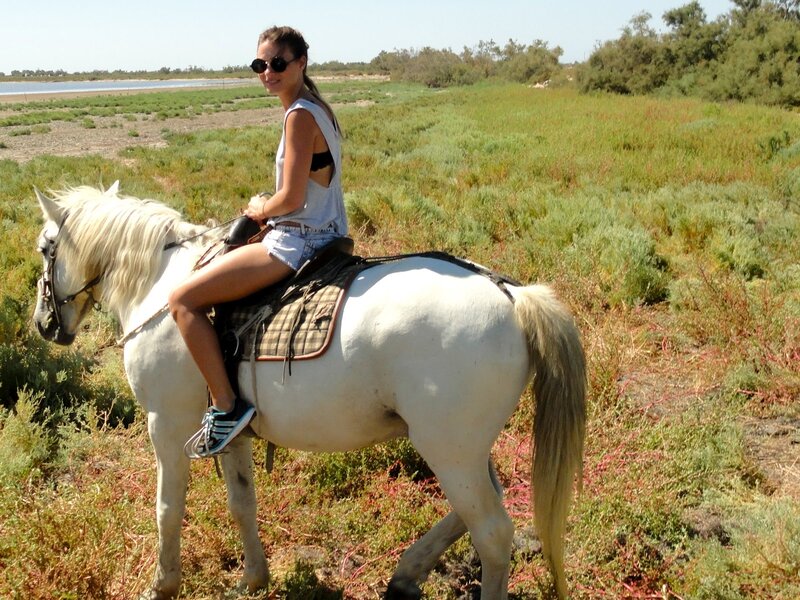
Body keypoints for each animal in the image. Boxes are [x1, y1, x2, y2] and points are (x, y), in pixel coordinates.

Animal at [32, 183, 586, 600]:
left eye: (43, 247)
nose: (43, 325)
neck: (161, 284)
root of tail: (510, 294)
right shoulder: (230, 430)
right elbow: (242, 502)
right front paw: (253, 579)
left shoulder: (165, 425)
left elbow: (167, 508)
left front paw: (162, 585)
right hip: (462, 447)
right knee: (483, 506)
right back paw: (406, 574)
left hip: (448, 450)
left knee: (492, 534)